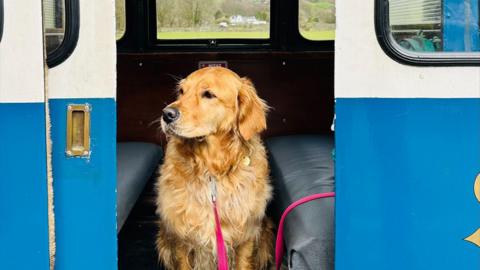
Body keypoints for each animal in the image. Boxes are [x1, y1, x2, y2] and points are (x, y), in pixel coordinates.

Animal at [157, 66, 274, 270]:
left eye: (208, 94)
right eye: (182, 91)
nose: (167, 114)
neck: (211, 170)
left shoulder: (246, 235)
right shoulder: (181, 237)